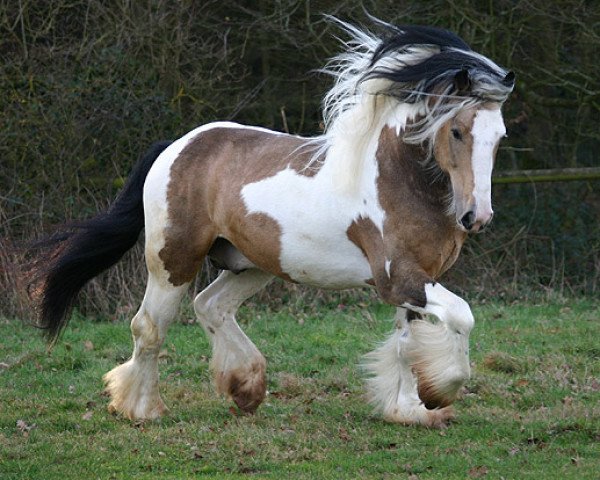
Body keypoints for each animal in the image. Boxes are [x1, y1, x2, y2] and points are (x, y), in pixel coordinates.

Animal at [28, 18, 512, 428]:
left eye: (499, 137)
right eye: (457, 132)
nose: (476, 217)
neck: (396, 179)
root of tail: (178, 145)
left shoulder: (417, 280)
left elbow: (409, 344)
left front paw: (409, 411)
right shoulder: (398, 278)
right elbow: (462, 316)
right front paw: (438, 395)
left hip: (251, 263)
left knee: (211, 306)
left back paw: (246, 388)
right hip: (173, 259)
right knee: (148, 326)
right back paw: (141, 409)